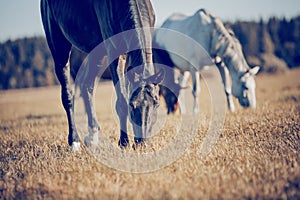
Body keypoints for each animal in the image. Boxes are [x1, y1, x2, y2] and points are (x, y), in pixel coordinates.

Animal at [40, 0, 164, 150]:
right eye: (132, 105)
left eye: (156, 104)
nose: (142, 144)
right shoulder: (114, 54)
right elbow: (121, 101)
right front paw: (124, 142)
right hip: (58, 45)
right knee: (68, 94)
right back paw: (74, 142)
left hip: (97, 52)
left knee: (87, 85)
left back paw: (92, 136)